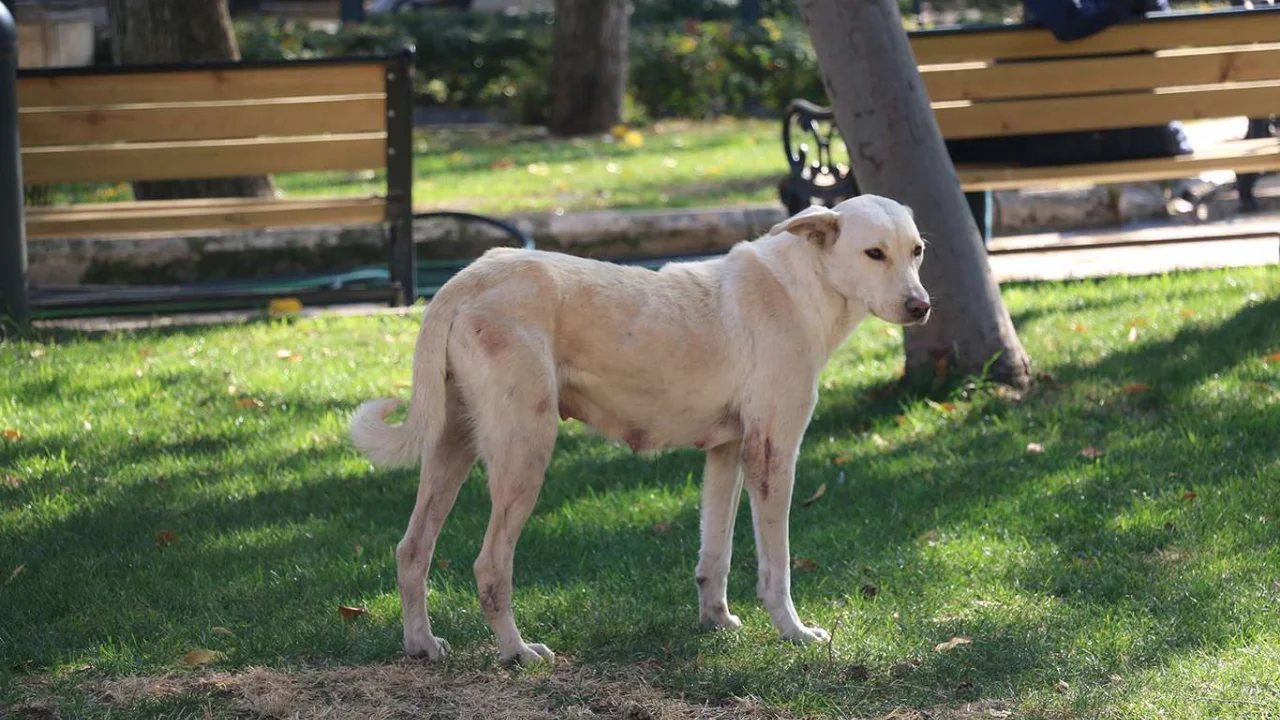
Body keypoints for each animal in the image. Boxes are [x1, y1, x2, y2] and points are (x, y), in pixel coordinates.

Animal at [350, 193, 931, 666]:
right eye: (873, 253)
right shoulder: (772, 455)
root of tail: (467, 278)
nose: (921, 307)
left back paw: (421, 644)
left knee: (411, 550)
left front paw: (716, 622)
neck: (802, 286)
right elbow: (776, 566)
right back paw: (516, 651)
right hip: (524, 454)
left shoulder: (727, 454)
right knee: (490, 565)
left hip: (452, 447)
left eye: (917, 251)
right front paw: (794, 632)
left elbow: (715, 554)